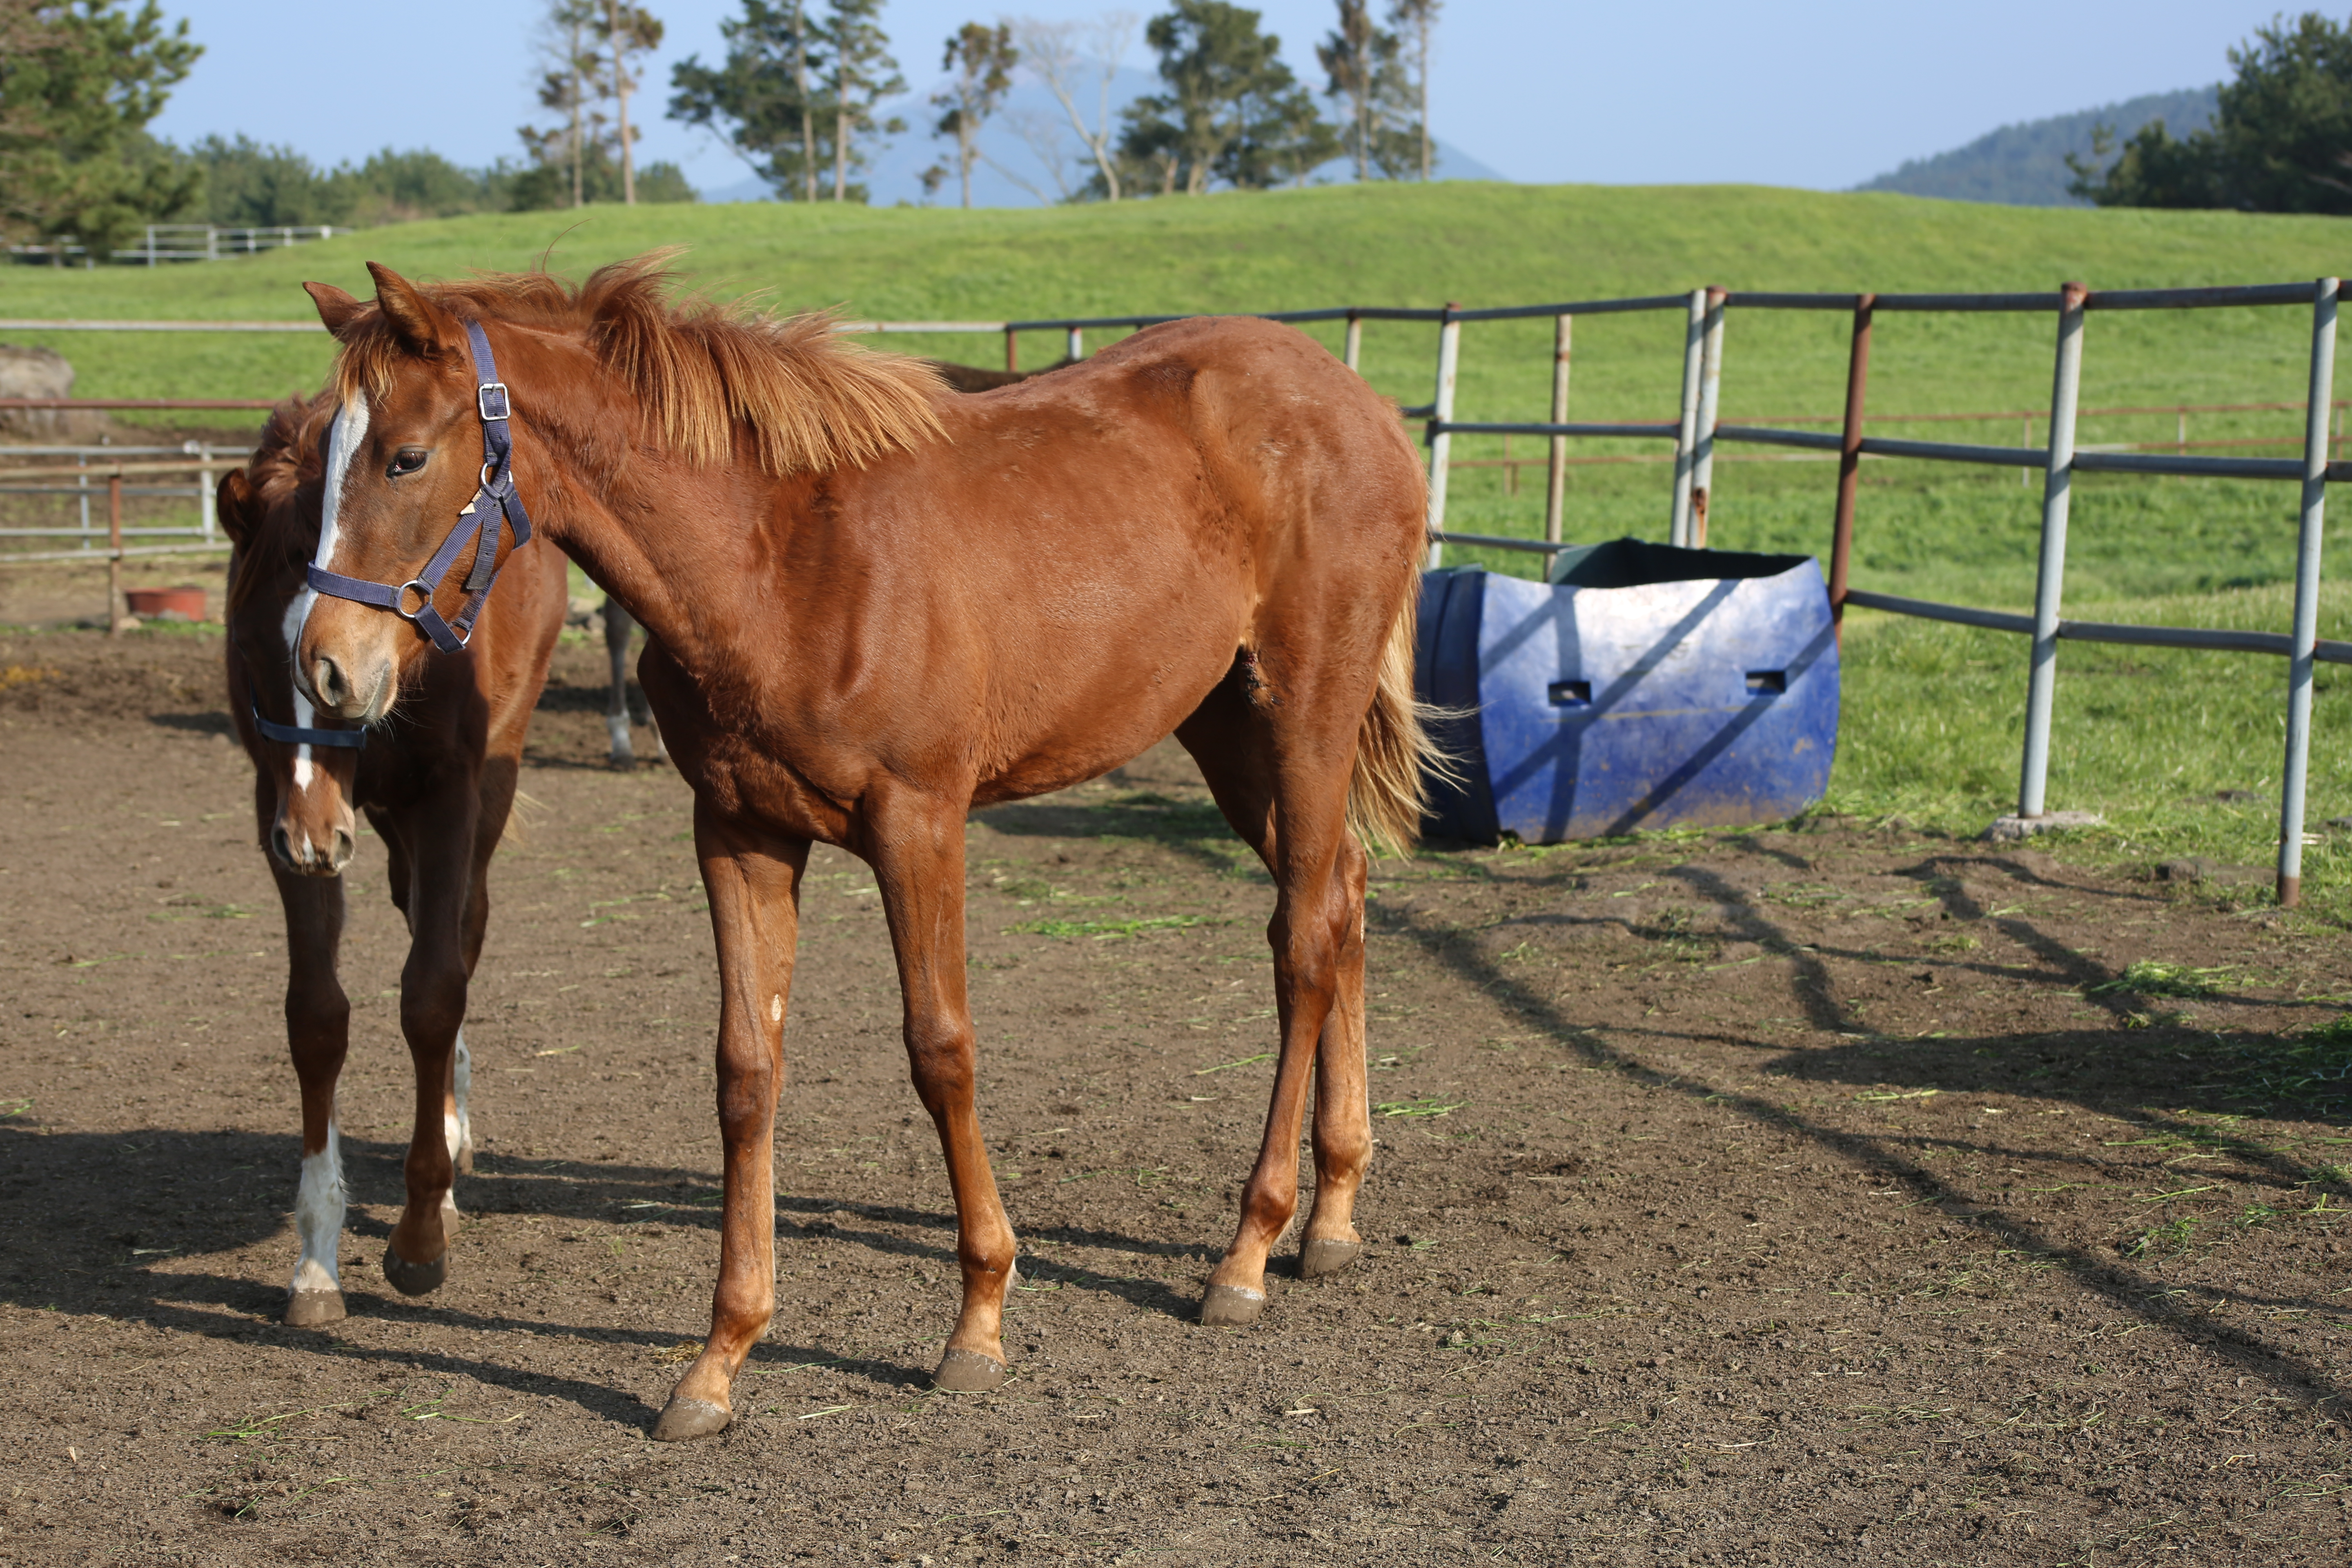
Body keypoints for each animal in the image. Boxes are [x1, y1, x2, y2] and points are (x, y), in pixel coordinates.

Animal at [221, 390, 569, 1326]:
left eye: (321, 671)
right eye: (253, 652)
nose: (315, 836)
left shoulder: (447, 797)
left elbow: (433, 994)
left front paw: (422, 1231)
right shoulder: (280, 806)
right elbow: (317, 1017)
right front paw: (315, 1261)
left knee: (461, 932)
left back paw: (449, 1140)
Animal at [289, 257, 1430, 1448]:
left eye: (405, 457)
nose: (323, 666)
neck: (783, 559)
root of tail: (1356, 402)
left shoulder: (918, 823)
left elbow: (941, 1051)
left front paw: (979, 1317)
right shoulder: (738, 832)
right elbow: (746, 1070)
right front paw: (720, 1358)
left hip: (1302, 716)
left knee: (1302, 942)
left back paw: (1247, 1251)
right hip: (1224, 726)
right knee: (1342, 898)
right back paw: (1331, 1215)